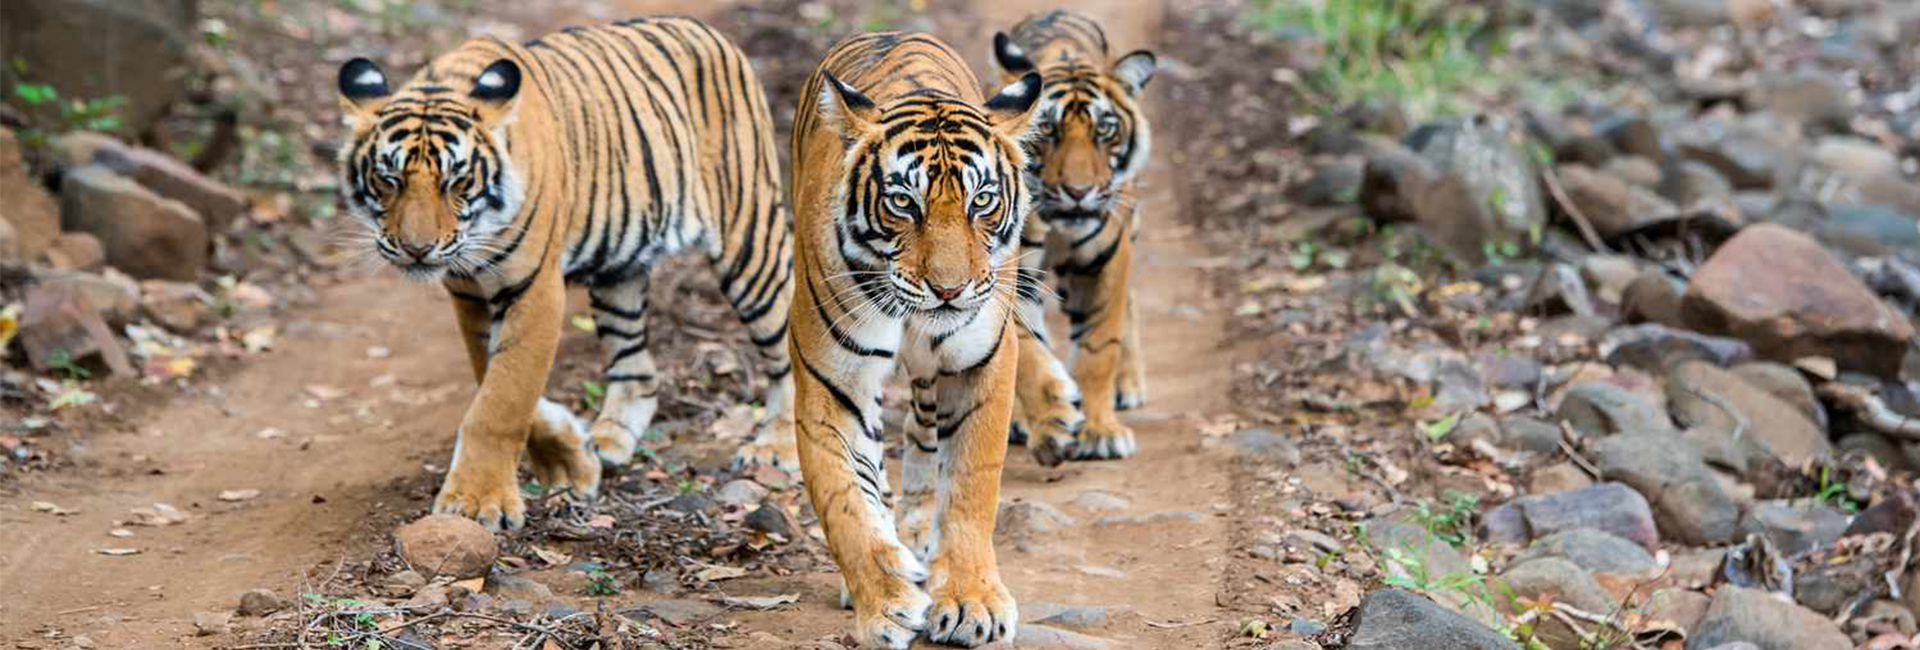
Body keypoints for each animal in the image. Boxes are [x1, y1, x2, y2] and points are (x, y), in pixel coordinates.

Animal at [334, 17, 798, 533]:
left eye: (457, 181)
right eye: (388, 179)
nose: (417, 249)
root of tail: (705, 30)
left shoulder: (534, 289)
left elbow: (503, 398)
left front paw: (478, 502)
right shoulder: (470, 294)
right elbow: (492, 378)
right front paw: (570, 460)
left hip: (751, 240)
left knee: (788, 346)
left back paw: (776, 448)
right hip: (620, 271)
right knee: (638, 369)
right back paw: (610, 441)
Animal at [783, 31, 1044, 650]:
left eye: (982, 200)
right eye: (904, 202)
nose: (948, 290)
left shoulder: (982, 362)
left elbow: (971, 486)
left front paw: (972, 601)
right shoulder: (831, 381)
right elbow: (846, 500)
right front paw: (885, 602)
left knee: (925, 433)